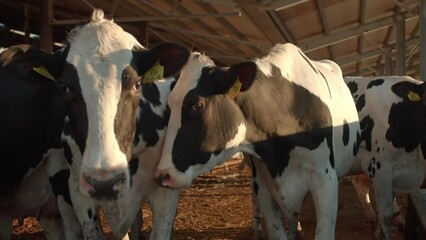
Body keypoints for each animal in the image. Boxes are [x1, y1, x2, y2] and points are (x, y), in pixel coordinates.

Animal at [155, 43, 362, 240]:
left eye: (197, 105)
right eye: (169, 105)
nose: (163, 175)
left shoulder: (325, 179)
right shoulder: (261, 183)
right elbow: (277, 231)